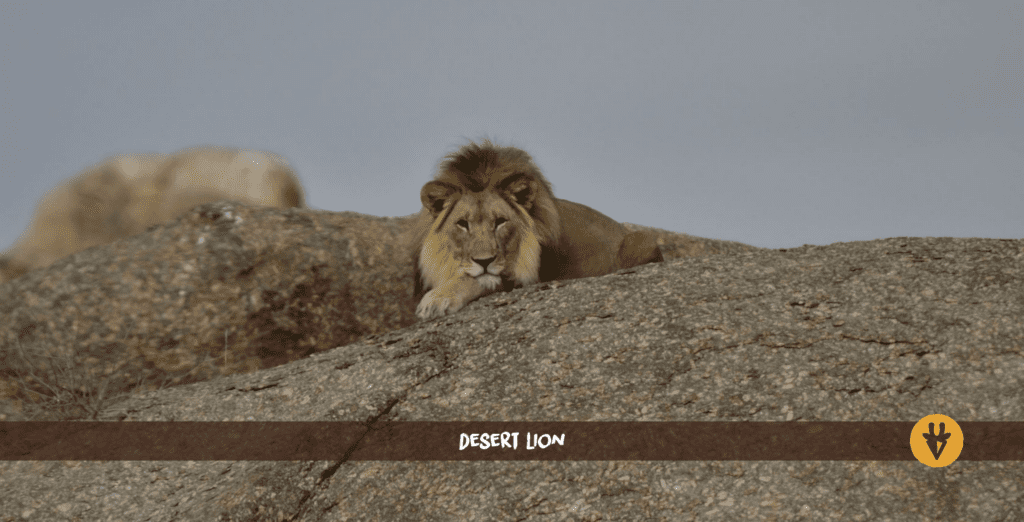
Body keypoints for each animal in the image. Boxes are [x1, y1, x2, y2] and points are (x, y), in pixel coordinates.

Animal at [411, 140, 663, 320]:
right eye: (463, 224)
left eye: (500, 222)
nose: (484, 261)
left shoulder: (526, 277)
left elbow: (475, 280)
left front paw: (436, 300)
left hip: (641, 240)